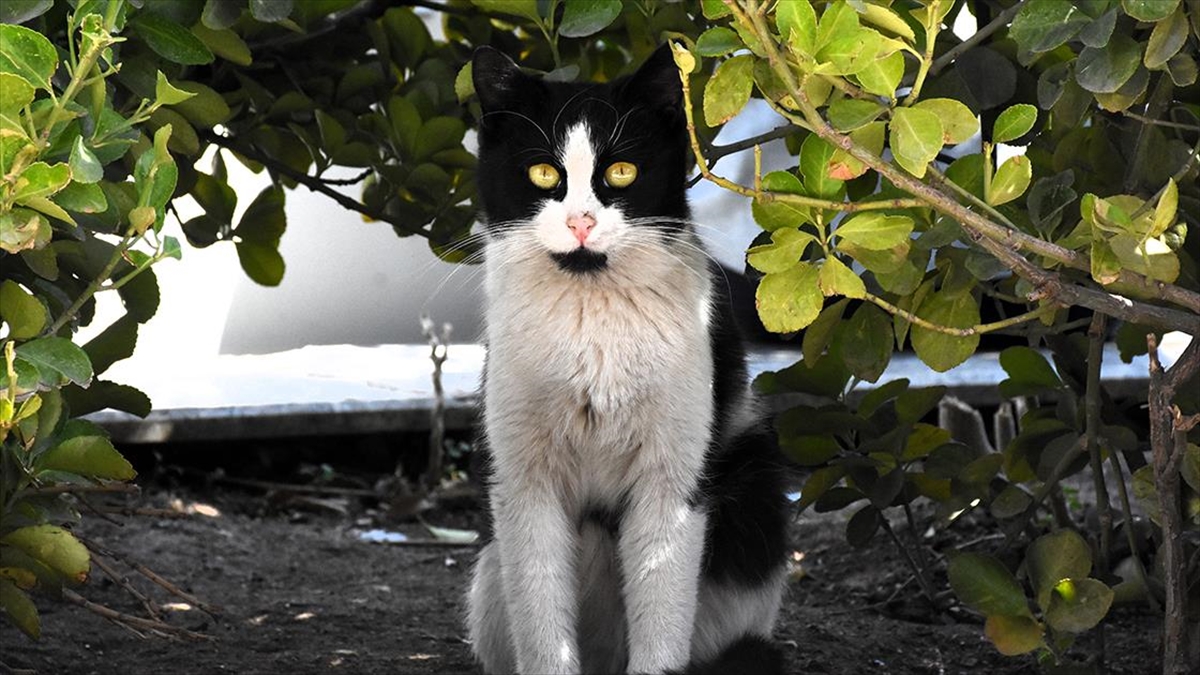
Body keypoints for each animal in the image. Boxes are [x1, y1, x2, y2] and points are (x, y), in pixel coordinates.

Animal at [460, 43, 787, 672]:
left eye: (621, 172)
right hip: (492, 572)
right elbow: (543, 625)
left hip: (755, 481)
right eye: (543, 173)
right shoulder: (523, 482)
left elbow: (660, 620)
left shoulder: (672, 484)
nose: (581, 221)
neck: (592, 325)